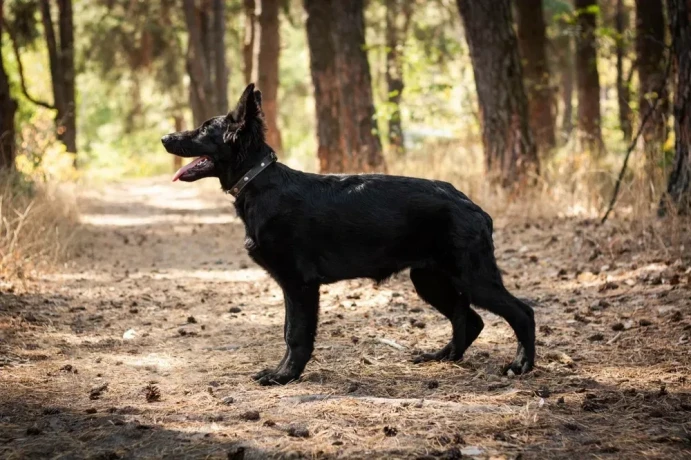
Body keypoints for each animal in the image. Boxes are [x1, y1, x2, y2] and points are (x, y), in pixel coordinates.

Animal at [161, 83, 536, 384]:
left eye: (204, 129)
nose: (164, 138)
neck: (260, 181)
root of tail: (472, 206)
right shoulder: (293, 286)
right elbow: (289, 331)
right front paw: (284, 372)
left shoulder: (299, 284)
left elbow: (295, 334)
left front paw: (284, 375)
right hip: (430, 279)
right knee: (469, 320)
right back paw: (442, 357)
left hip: (471, 278)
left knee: (522, 312)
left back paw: (521, 365)